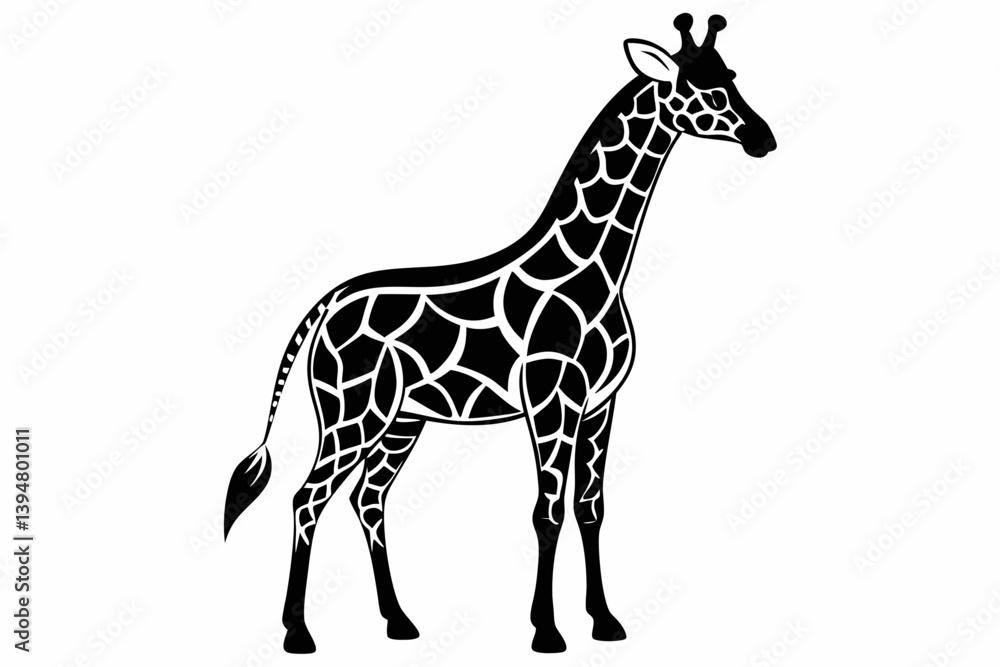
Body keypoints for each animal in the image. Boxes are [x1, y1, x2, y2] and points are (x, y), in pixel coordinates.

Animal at [224, 13, 775, 654]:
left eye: (731, 75)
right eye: (699, 89)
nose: (763, 138)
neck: (598, 267)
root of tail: (326, 304)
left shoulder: (600, 404)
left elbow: (590, 506)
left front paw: (605, 622)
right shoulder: (551, 399)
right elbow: (547, 510)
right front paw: (547, 632)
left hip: (401, 421)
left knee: (368, 499)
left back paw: (398, 621)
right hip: (353, 411)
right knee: (307, 498)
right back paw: (298, 633)